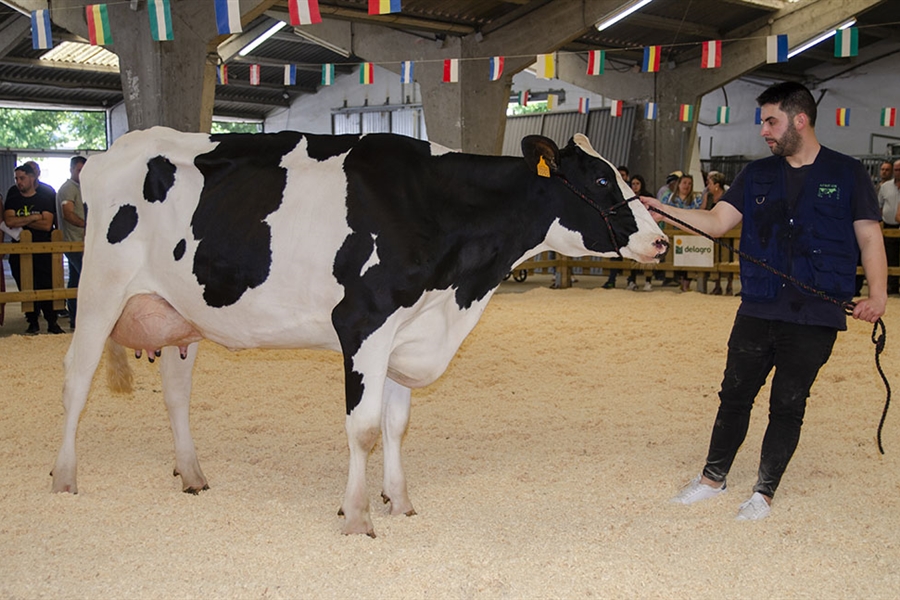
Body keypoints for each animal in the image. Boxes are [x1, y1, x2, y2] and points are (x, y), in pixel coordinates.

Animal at [51, 126, 668, 536]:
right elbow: (364, 428)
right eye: (599, 177)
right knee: (76, 381)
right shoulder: (364, 325)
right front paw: (356, 516)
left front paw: (400, 501)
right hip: (100, 289)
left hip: (180, 314)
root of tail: (113, 151)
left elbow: (396, 426)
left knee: (176, 395)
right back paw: (64, 478)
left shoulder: (404, 332)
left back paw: (192, 474)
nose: (662, 241)